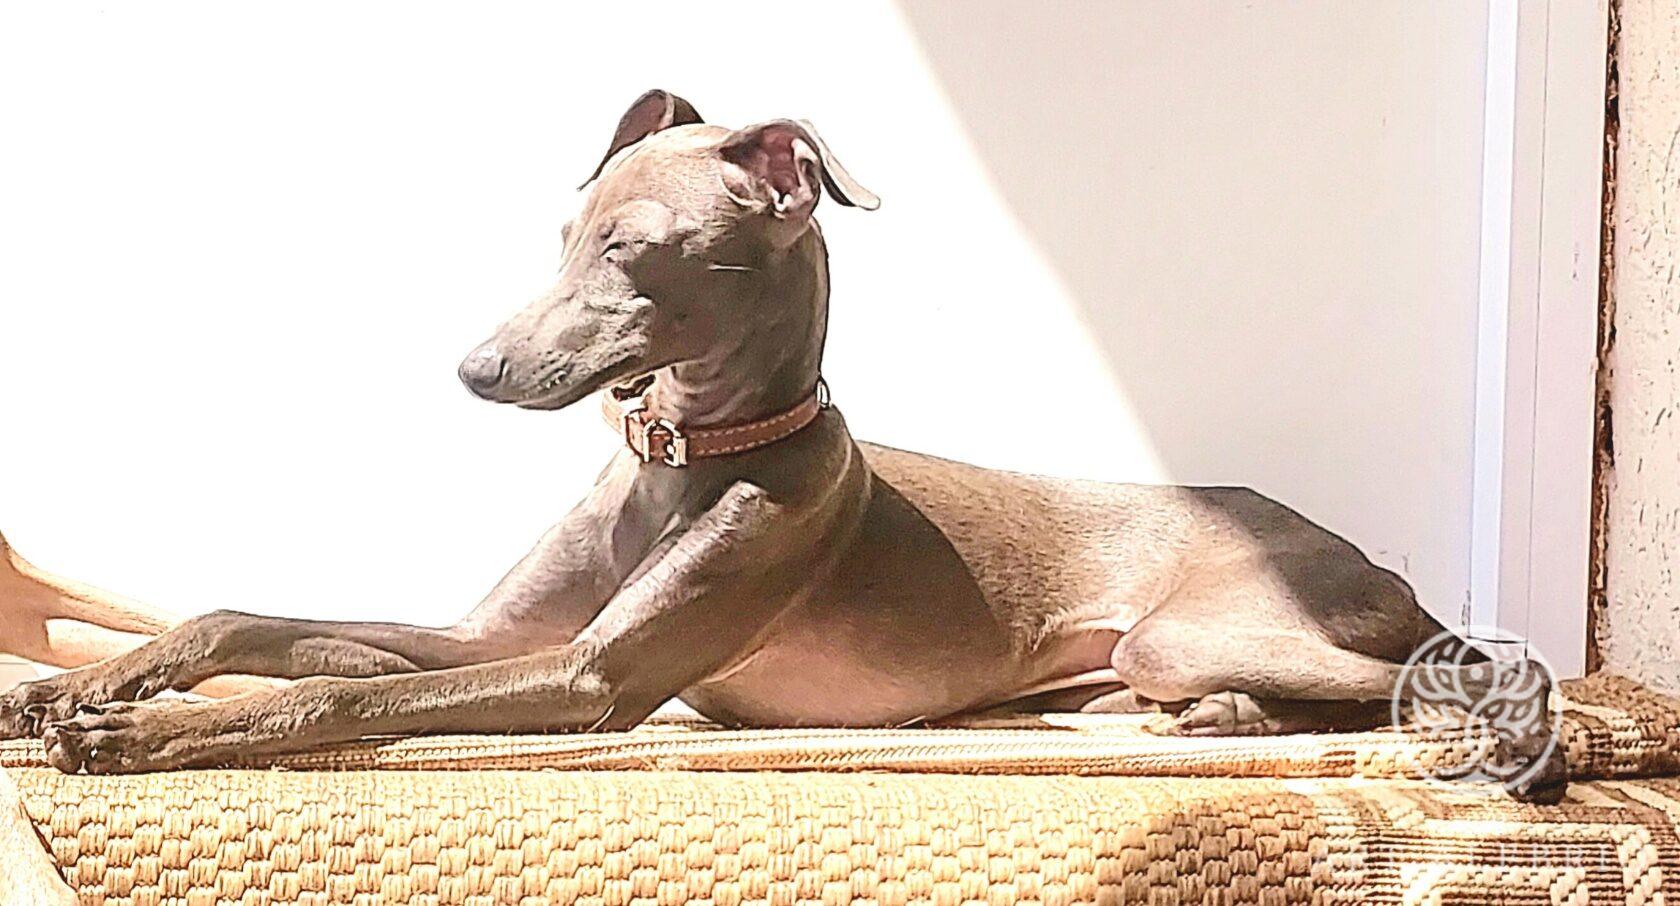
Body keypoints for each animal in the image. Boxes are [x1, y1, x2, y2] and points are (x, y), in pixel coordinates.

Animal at [0, 90, 1560, 796]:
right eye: (560, 232)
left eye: (632, 249)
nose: (472, 370)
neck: (689, 452)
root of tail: (1360, 555)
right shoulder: (493, 636)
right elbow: (252, 622)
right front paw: (76, 685)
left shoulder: (589, 677)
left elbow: (325, 694)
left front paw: (135, 730)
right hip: (1132, 663)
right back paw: (1205, 722)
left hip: (1198, 622)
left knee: (1465, 671)